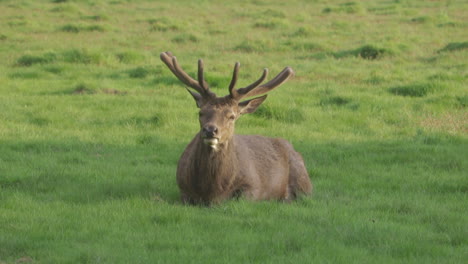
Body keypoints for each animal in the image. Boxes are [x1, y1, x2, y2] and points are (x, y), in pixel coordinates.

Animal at [160, 51, 310, 204]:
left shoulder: (254, 185)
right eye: (201, 113)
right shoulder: (182, 188)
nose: (210, 130)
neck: (211, 192)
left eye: (231, 116)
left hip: (303, 179)